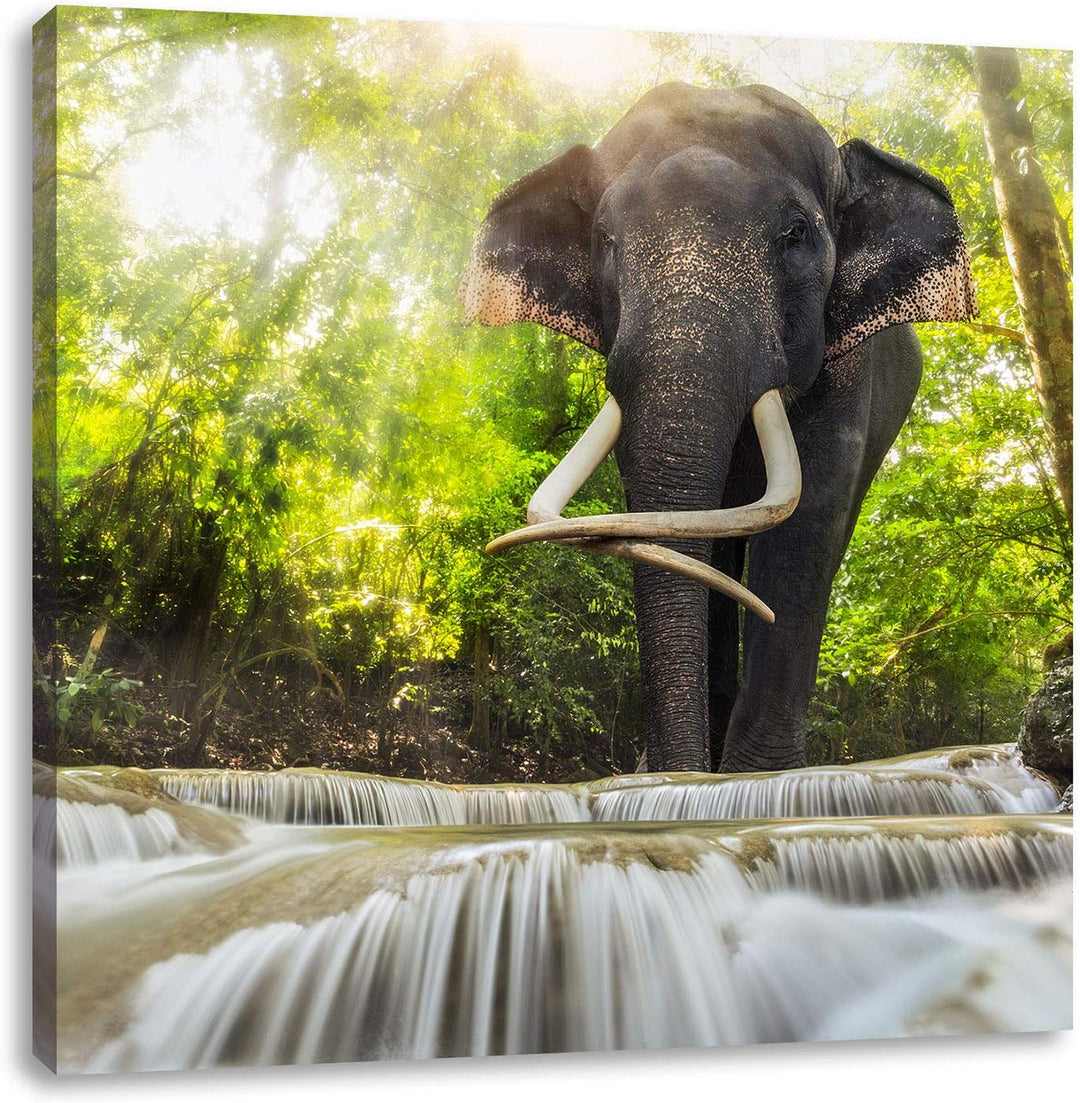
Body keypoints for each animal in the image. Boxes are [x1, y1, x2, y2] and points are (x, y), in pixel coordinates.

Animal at [460, 82, 976, 774]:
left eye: (796, 233)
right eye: (605, 240)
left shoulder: (847, 368)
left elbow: (808, 522)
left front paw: (758, 779)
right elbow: (664, 526)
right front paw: (678, 776)